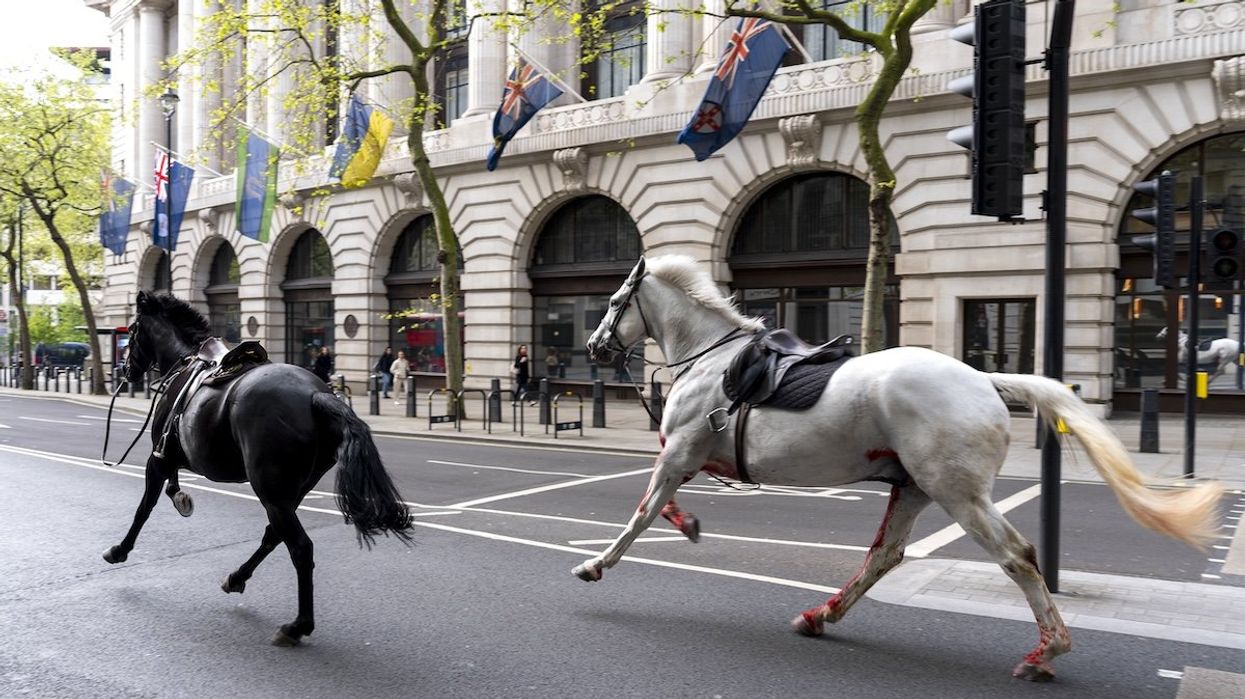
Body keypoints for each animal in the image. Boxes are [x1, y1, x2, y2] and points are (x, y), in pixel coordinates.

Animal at [105, 291, 413, 646]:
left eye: (133, 330)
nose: (125, 369)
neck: (185, 362)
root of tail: (316, 394)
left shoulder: (159, 458)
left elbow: (144, 508)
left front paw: (120, 549)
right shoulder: (172, 457)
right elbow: (170, 488)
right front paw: (180, 498)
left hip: (270, 490)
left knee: (300, 547)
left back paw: (297, 625)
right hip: (291, 491)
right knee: (273, 536)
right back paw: (237, 578)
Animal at [577, 256, 1223, 681]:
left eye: (612, 302)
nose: (593, 347)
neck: (713, 360)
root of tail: (986, 381)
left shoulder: (678, 453)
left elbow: (641, 513)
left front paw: (595, 565)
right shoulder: (686, 456)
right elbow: (663, 506)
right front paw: (687, 525)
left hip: (957, 492)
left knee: (1016, 556)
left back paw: (1046, 652)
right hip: (914, 487)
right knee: (885, 555)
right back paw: (821, 614)